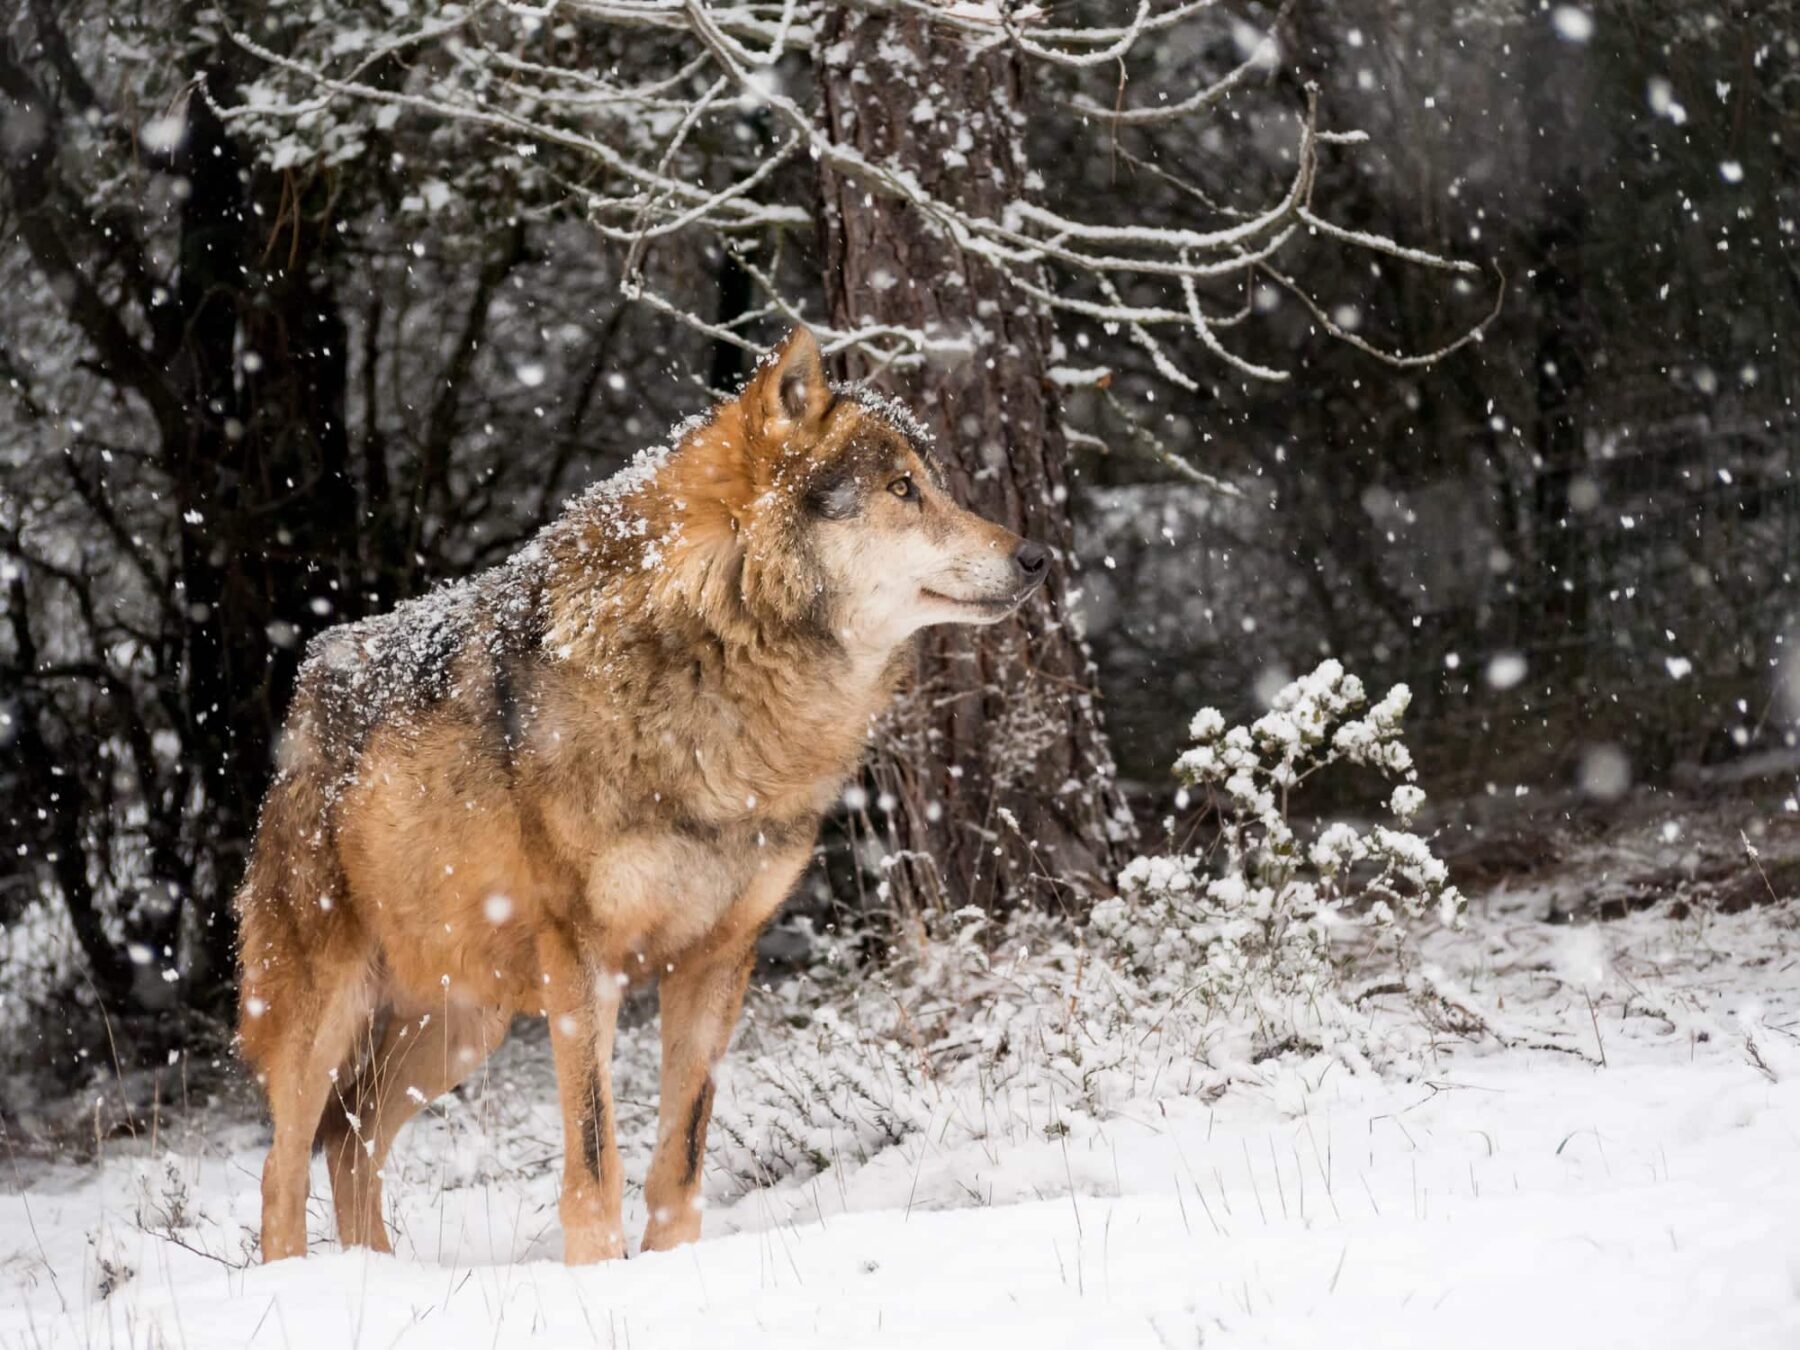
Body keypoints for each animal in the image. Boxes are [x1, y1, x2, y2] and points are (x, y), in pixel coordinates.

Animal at [235, 327, 1047, 1262]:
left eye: (934, 482)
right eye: (903, 489)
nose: (1036, 556)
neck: (721, 670)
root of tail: (305, 691)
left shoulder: (721, 957)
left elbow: (680, 1155)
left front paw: (670, 1267)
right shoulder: (583, 959)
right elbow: (596, 1159)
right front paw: (596, 1272)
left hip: (459, 1027)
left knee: (350, 1141)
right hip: (328, 1012)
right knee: (284, 1164)